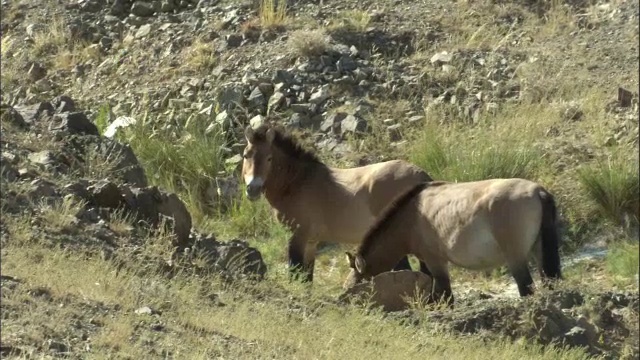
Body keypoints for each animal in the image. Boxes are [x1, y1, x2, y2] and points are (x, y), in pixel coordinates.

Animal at [241, 125, 436, 282]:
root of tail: (422, 176)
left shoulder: (297, 237)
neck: (298, 181)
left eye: (269, 158)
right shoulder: (311, 242)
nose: (253, 189)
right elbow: (307, 278)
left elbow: (296, 273)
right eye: (245, 156)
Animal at [342, 179, 564, 306]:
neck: (411, 216)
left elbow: (445, 294)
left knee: (525, 287)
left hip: (515, 258)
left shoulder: (435, 261)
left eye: (359, 282)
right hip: (539, 252)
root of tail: (538, 192)